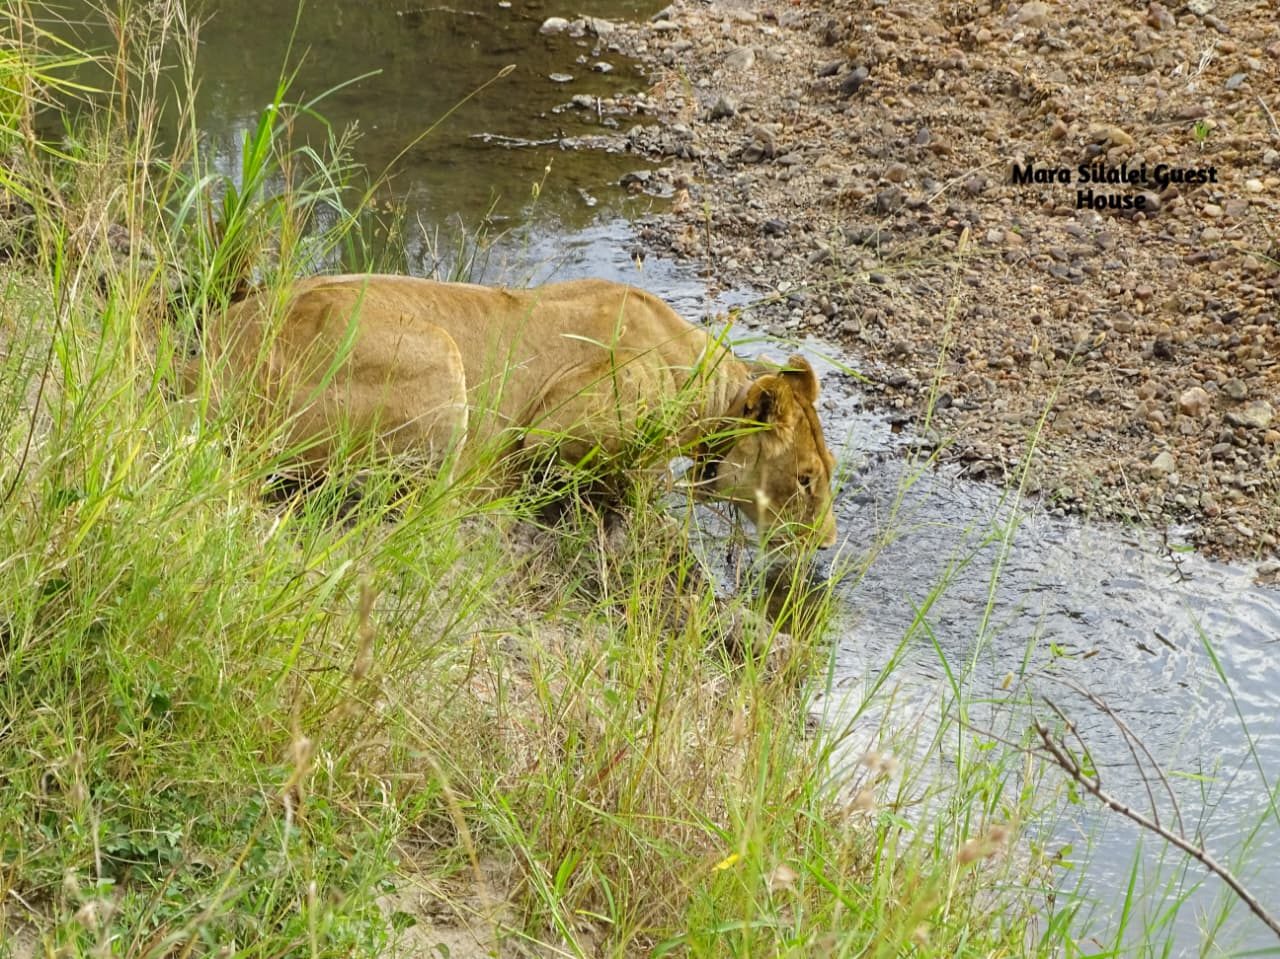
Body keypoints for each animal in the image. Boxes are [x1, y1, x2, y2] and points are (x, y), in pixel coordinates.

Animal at [189, 274, 838, 547]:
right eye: (805, 479)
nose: (826, 543)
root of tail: (218, 360)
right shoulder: (555, 425)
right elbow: (638, 479)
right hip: (440, 358)